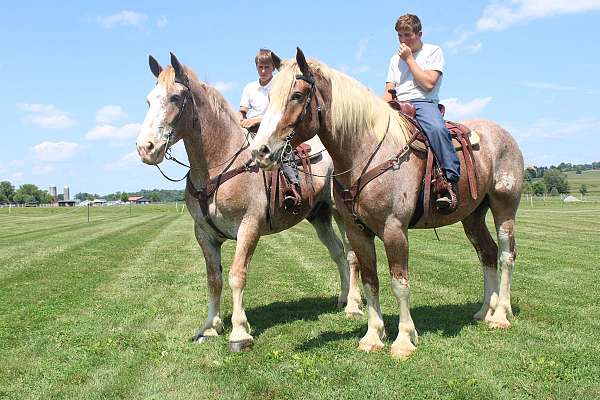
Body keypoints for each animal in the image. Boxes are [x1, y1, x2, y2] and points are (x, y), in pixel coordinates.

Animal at [136, 53, 360, 354]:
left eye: (174, 97)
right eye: (149, 100)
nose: (145, 148)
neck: (218, 167)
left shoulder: (249, 227)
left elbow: (236, 275)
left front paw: (239, 332)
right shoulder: (203, 234)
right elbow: (214, 279)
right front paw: (210, 327)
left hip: (340, 212)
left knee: (351, 254)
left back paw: (354, 306)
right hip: (319, 216)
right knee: (337, 252)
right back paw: (342, 298)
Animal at [251, 48, 524, 358]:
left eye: (297, 95)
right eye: (270, 96)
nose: (260, 151)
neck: (366, 151)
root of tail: (504, 135)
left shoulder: (394, 230)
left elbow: (399, 283)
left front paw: (404, 339)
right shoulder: (358, 231)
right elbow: (371, 281)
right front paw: (373, 335)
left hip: (505, 207)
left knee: (506, 255)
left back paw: (500, 315)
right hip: (473, 215)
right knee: (487, 253)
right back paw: (484, 311)